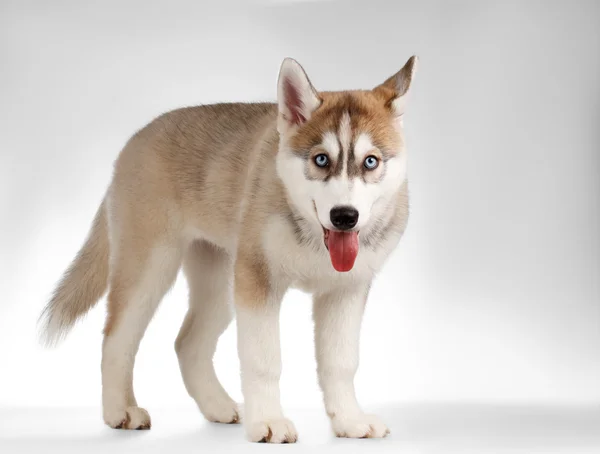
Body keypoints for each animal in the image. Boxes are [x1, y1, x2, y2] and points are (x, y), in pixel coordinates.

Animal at [38, 55, 418, 444]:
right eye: (321, 159)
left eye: (371, 161)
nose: (344, 216)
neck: (312, 233)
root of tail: (135, 141)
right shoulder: (257, 280)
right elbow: (264, 359)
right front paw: (268, 421)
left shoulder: (346, 290)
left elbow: (341, 362)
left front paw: (349, 420)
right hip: (151, 268)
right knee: (115, 339)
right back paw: (120, 410)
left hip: (221, 282)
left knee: (187, 343)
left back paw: (217, 406)